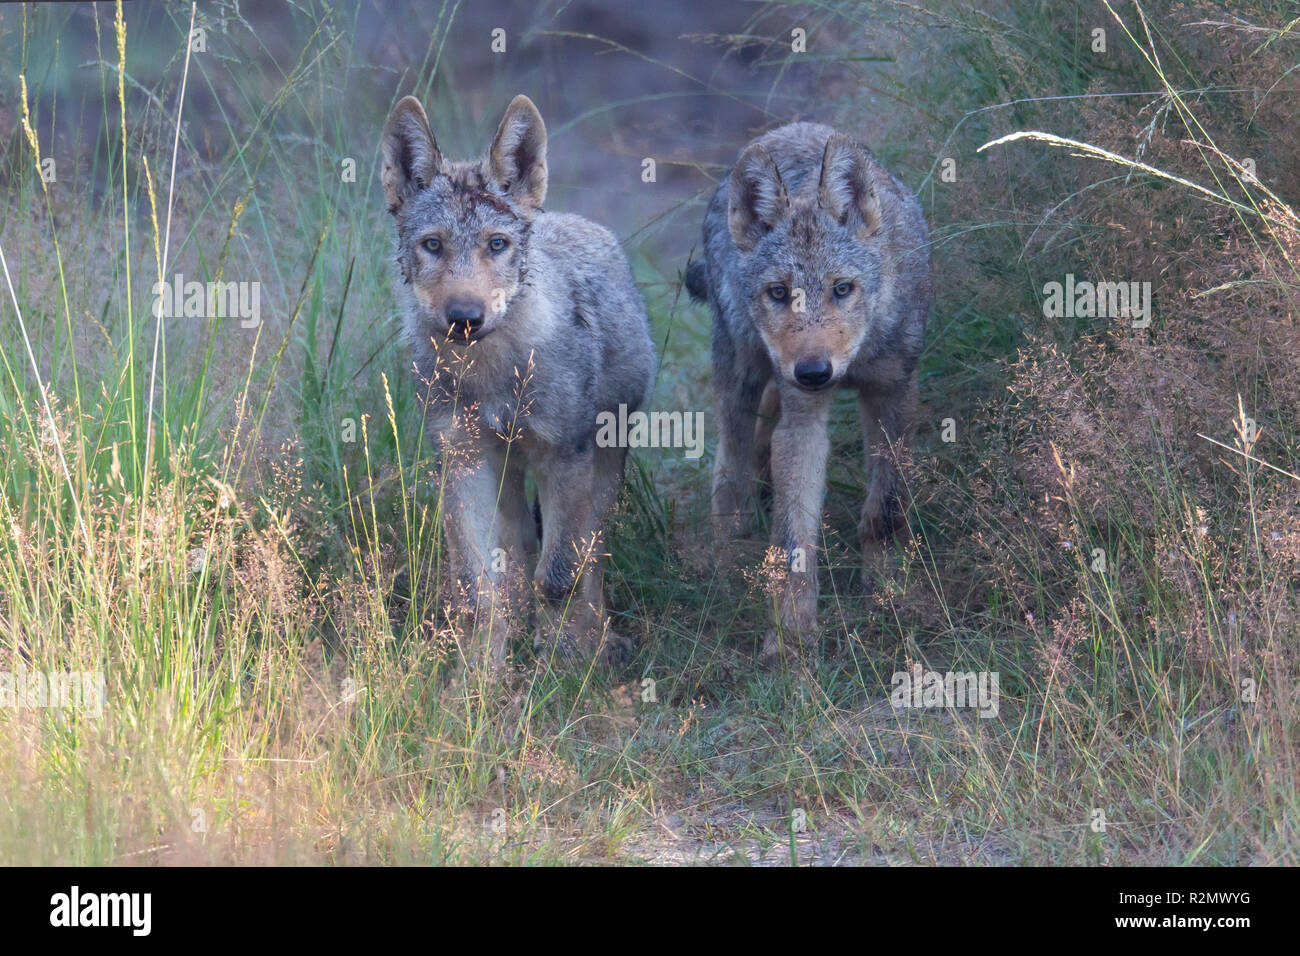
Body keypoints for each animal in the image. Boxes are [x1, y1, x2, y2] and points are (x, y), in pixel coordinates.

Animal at [379, 93, 655, 671]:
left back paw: (600, 643)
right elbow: (476, 589)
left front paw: (562, 665)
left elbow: (559, 578)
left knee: (589, 559)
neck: (492, 376)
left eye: (497, 244)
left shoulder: (565, 460)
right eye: (433, 245)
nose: (465, 317)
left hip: (603, 468)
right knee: (518, 557)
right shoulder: (462, 461)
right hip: (506, 475)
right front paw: (480, 675)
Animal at [686, 121, 930, 665]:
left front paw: (888, 592)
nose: (815, 371)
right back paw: (726, 562)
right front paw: (791, 639)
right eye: (780, 293)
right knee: (728, 471)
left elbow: (886, 510)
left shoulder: (893, 396)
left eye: (842, 289)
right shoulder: (803, 422)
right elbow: (794, 538)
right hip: (742, 372)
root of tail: (789, 129)